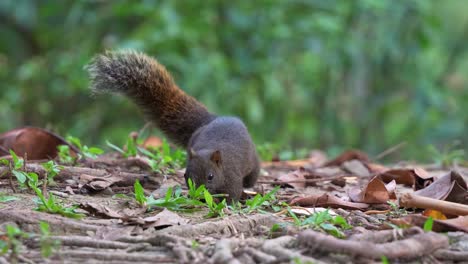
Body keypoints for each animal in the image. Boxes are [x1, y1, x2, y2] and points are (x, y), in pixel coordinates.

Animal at [84, 50, 260, 201]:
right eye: (187, 176)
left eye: (211, 176)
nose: (199, 193)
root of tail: (212, 119)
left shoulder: (232, 177)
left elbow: (232, 194)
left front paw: (228, 204)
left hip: (253, 162)